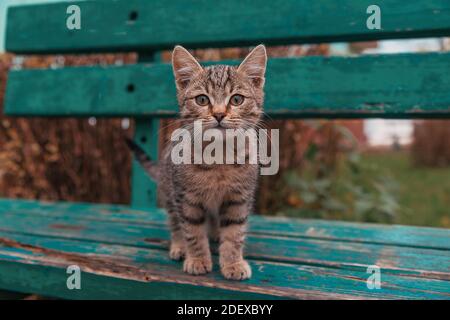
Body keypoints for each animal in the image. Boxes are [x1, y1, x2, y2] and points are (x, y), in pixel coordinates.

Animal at [127, 45, 268, 280]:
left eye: (236, 99)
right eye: (202, 100)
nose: (219, 114)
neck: (219, 157)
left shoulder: (239, 198)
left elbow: (235, 232)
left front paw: (233, 262)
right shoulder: (186, 198)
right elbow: (192, 231)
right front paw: (198, 259)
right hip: (168, 190)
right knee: (175, 223)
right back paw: (179, 246)